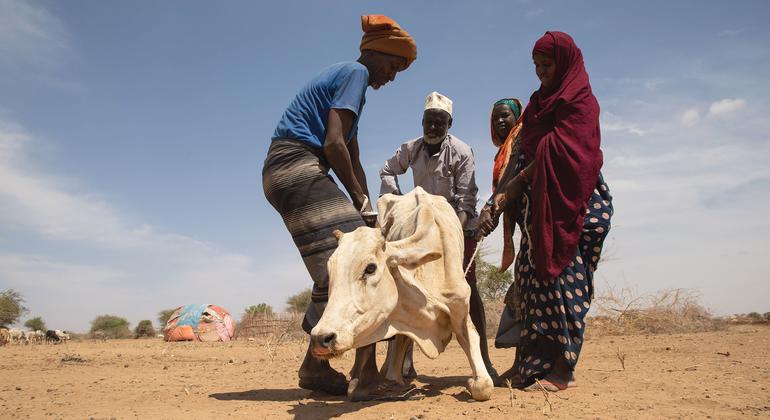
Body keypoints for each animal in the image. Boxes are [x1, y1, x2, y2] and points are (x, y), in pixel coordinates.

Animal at [308, 186, 488, 400]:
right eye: (330, 270)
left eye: (370, 268)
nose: (320, 338)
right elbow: (396, 362)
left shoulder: (460, 310)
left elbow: (483, 386)